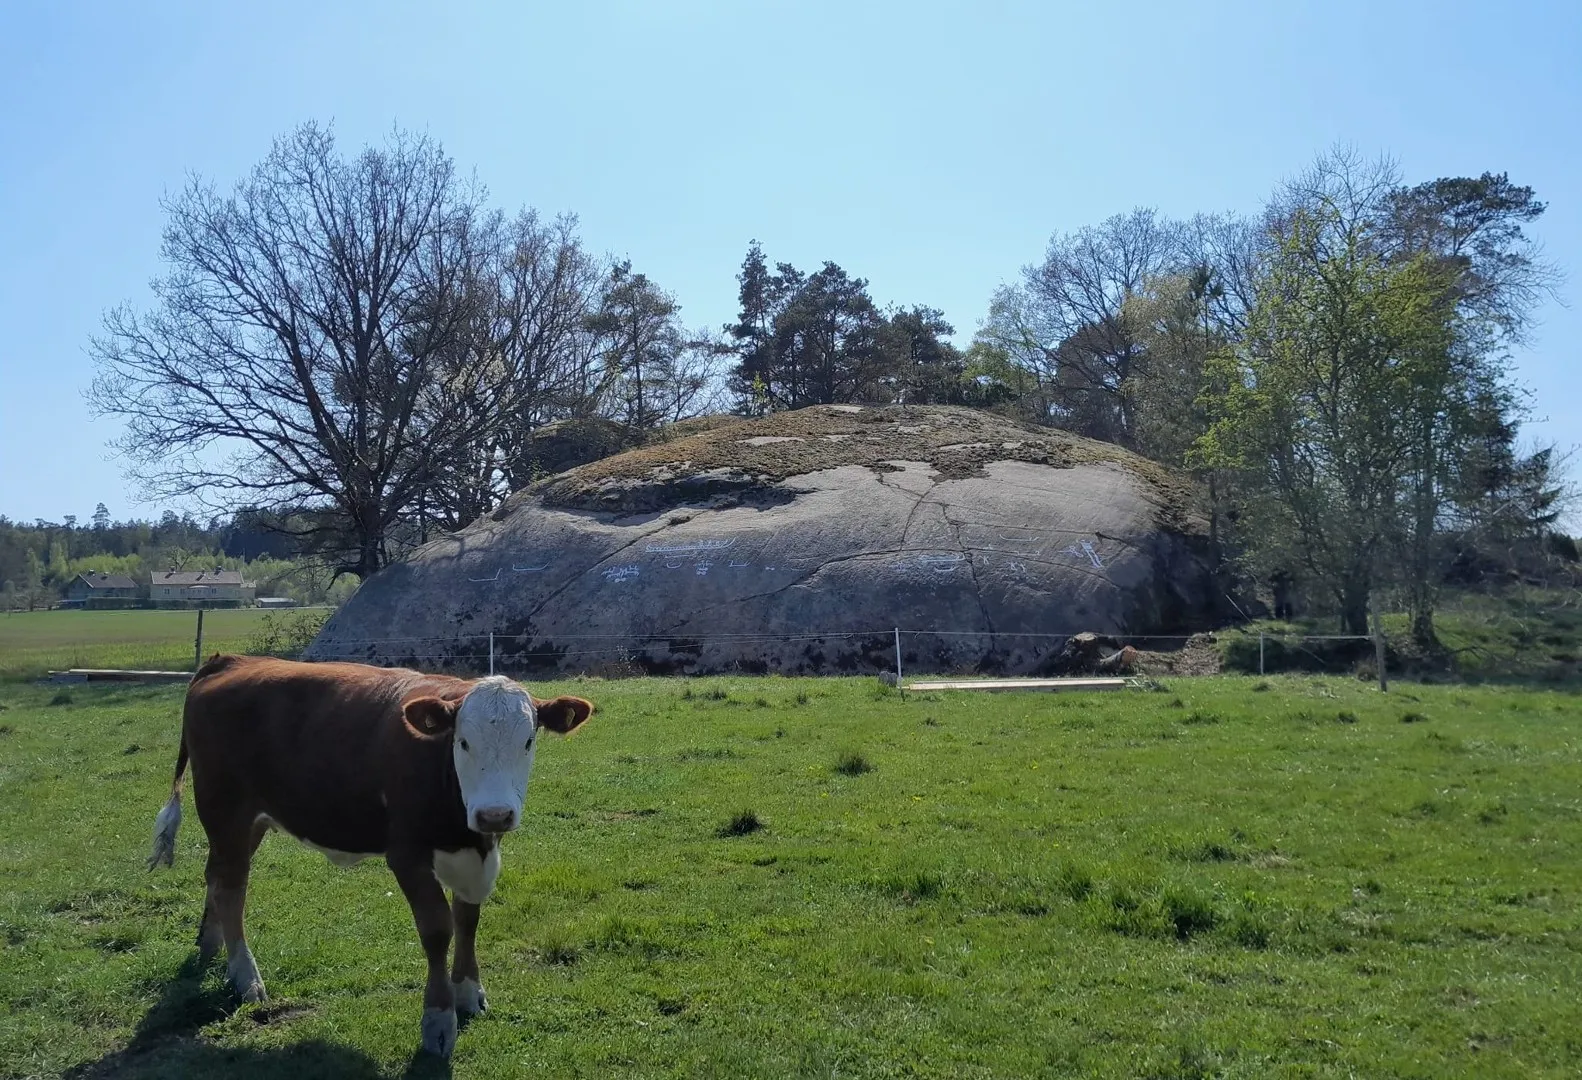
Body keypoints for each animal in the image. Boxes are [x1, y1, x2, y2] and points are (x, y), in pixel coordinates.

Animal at [147, 654, 594, 1062]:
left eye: (528, 742)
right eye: (463, 741)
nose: (495, 815)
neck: (466, 832)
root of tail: (229, 660)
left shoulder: (476, 857)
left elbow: (468, 921)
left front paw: (469, 991)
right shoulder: (407, 855)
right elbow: (438, 929)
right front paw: (438, 1021)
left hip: (243, 822)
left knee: (216, 875)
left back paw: (211, 944)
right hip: (226, 810)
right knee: (231, 889)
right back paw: (245, 975)